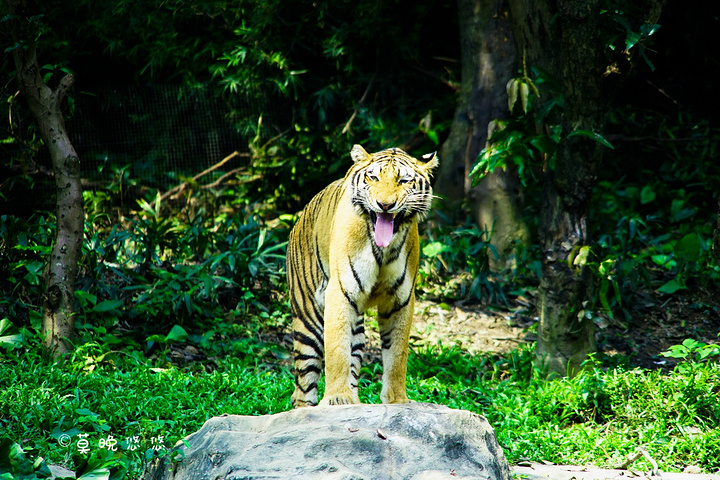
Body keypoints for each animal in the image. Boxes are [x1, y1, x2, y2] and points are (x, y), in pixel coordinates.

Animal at [286, 144, 438, 407]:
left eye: (403, 180)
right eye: (373, 177)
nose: (385, 205)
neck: (383, 249)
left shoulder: (401, 299)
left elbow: (397, 355)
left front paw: (397, 400)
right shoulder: (340, 291)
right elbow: (337, 350)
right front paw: (337, 398)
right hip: (308, 319)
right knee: (303, 387)